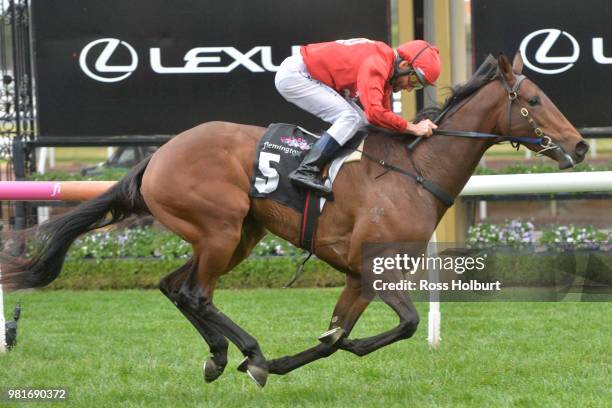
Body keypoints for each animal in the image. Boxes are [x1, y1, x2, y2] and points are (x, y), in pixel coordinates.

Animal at [0, 54, 588, 386]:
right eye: (535, 99)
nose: (582, 145)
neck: (415, 171)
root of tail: (159, 153)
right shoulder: (375, 271)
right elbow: (404, 323)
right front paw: (283, 360)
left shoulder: (357, 276)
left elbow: (339, 334)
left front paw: (304, 356)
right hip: (219, 228)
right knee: (196, 294)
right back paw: (249, 352)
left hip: (237, 235)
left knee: (173, 286)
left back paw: (221, 357)